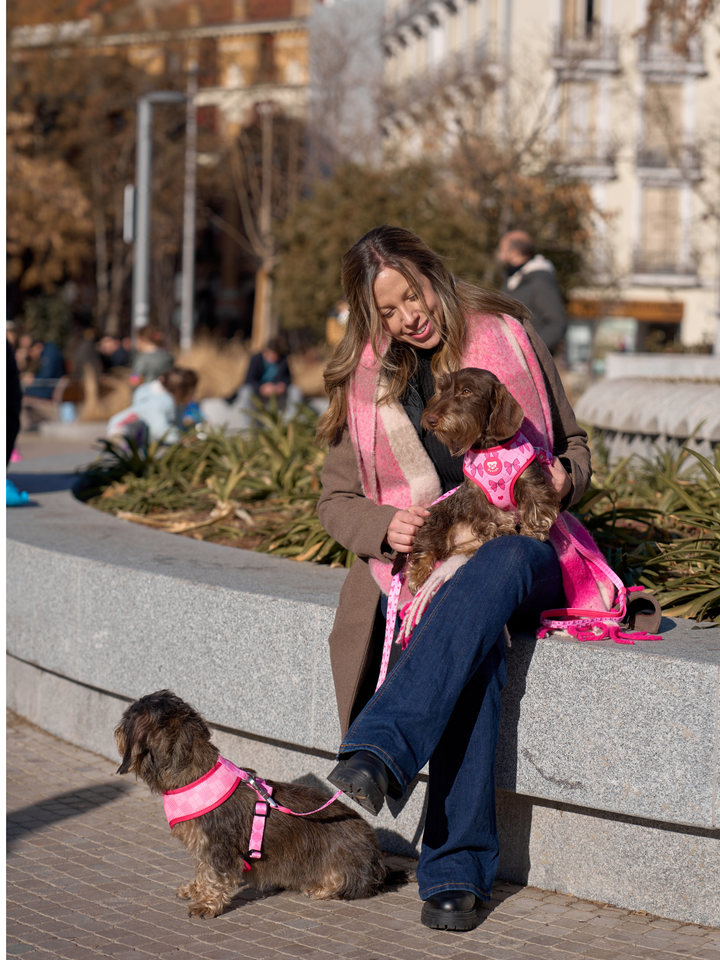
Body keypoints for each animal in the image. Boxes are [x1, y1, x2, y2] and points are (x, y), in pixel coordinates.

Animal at [116, 688, 390, 916]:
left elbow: (214, 874)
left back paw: (320, 887)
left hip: (343, 866)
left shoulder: (219, 847)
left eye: (127, 716)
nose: (116, 731)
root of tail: (377, 857)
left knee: (349, 885)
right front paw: (196, 889)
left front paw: (207, 904)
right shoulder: (205, 847)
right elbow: (203, 869)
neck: (195, 774)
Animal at [404, 368, 564, 592]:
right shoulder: (476, 494)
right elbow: (490, 514)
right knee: (426, 550)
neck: (490, 448)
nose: (431, 420)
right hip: (436, 524)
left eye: (466, 391)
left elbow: (536, 506)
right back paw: (418, 575)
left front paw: (534, 530)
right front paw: (501, 528)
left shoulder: (531, 482)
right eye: (442, 390)